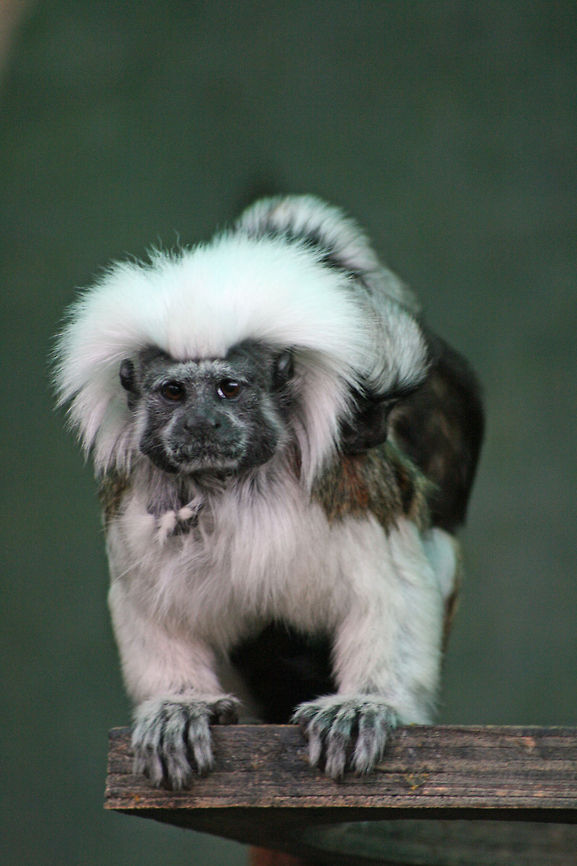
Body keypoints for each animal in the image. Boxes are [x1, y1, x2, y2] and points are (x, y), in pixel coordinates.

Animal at [54, 195, 483, 788]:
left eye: (229, 389)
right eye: (173, 392)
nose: (202, 423)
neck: (237, 483)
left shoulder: (351, 482)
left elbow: (390, 589)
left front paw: (363, 705)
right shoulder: (129, 497)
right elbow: (151, 606)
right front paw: (182, 707)